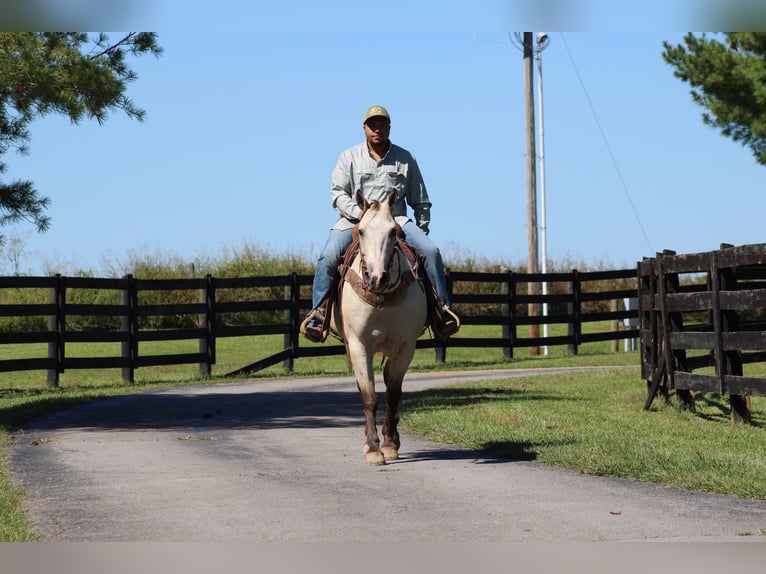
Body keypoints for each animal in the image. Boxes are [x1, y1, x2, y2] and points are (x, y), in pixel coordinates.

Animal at [330, 191, 428, 466]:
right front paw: (373, 448)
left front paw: (389, 444)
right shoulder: (359, 345)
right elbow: (369, 396)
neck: (382, 296)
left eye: (393, 232)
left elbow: (393, 395)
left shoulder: (406, 347)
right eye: (361, 231)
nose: (376, 277)